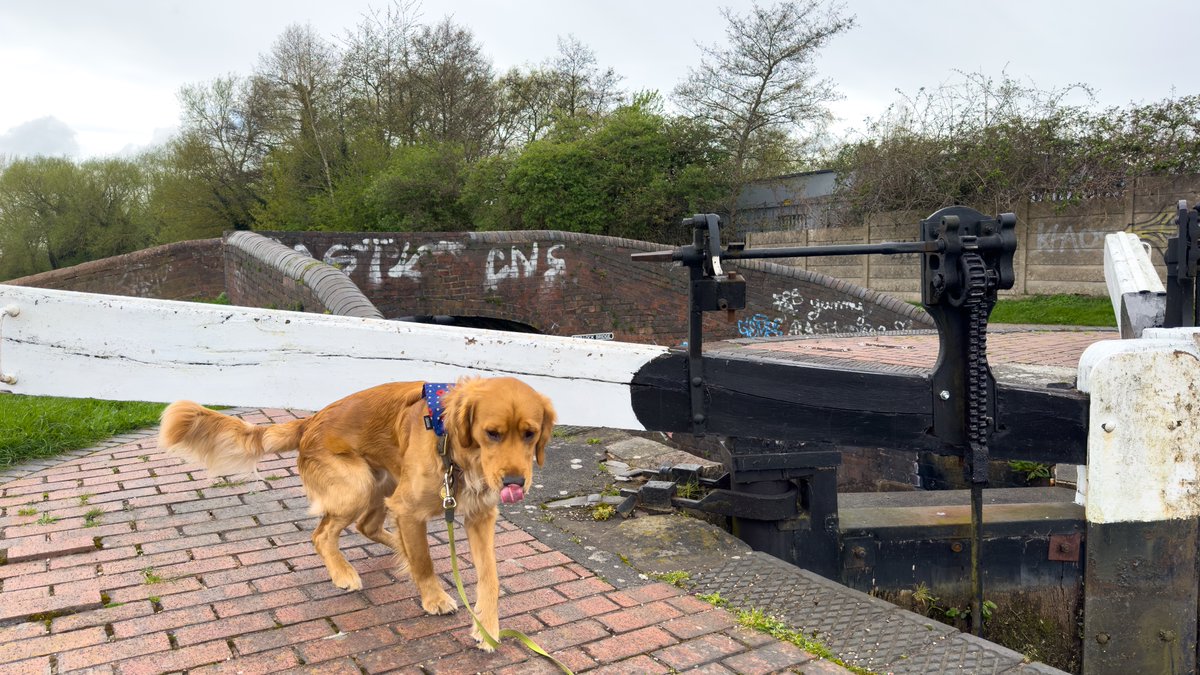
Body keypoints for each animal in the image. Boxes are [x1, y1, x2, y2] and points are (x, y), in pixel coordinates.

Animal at [154, 374, 556, 648]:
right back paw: (344, 572)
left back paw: (395, 549)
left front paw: (487, 628)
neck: (450, 442)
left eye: (530, 434)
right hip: (360, 485)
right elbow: (423, 561)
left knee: (367, 527)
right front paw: (435, 598)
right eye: (492, 433)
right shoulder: (409, 508)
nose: (515, 482)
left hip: (383, 483)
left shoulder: (479, 517)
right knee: (323, 534)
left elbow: (490, 578)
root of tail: (309, 421)